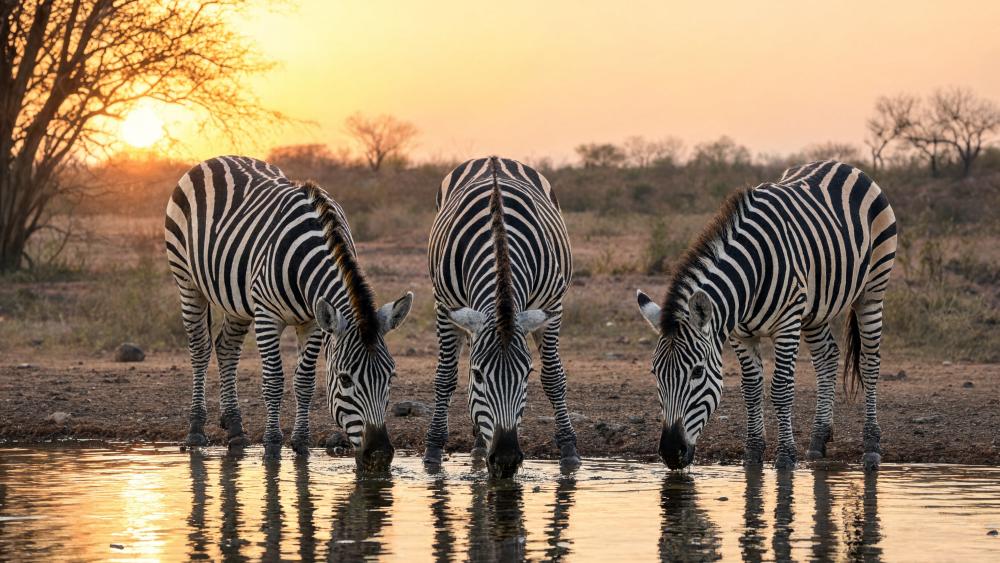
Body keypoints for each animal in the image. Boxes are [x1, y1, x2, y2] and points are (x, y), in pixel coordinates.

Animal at [164, 155, 413, 468]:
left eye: (391, 376)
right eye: (345, 379)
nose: (379, 455)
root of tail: (218, 158)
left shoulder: (314, 322)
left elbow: (304, 381)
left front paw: (301, 443)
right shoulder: (268, 316)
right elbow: (273, 380)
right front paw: (272, 444)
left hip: (236, 301)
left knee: (227, 348)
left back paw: (235, 429)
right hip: (186, 280)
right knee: (200, 348)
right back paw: (196, 430)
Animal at [424, 156, 580, 477]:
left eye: (526, 374)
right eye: (479, 375)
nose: (506, 459)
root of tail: (493, 159)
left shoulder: (552, 306)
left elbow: (553, 376)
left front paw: (569, 450)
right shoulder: (444, 306)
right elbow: (446, 376)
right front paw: (433, 450)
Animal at [635, 160, 897, 471]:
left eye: (697, 371)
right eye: (655, 372)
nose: (671, 453)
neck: (749, 279)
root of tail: (842, 165)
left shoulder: (787, 324)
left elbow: (781, 388)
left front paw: (785, 456)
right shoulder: (739, 334)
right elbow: (751, 389)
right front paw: (753, 453)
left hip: (872, 290)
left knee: (869, 363)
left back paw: (871, 446)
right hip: (816, 309)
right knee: (827, 358)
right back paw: (819, 439)